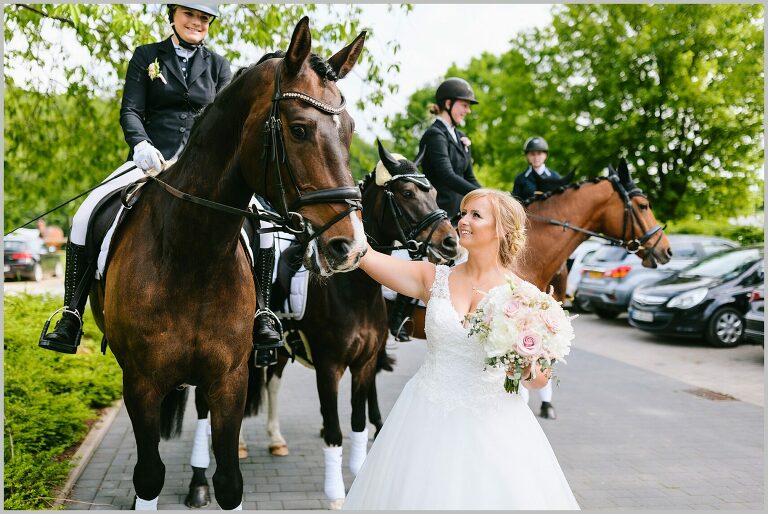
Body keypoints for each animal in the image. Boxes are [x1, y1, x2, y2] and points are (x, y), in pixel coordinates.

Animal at [88, 17, 368, 508]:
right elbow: (148, 475)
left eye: (349, 130)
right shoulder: (140, 381)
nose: (349, 247)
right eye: (299, 129)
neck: (191, 255)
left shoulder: (228, 378)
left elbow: (230, 482)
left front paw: (211, 479)